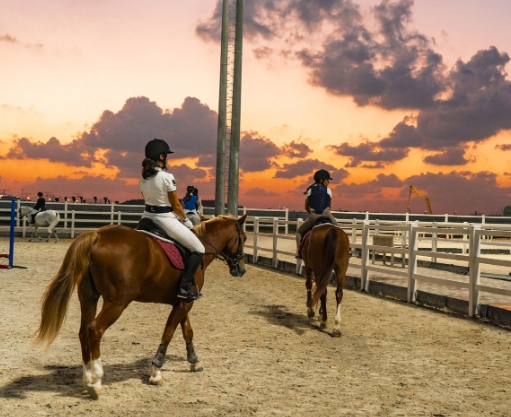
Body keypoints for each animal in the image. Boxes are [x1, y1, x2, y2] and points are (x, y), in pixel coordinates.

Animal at [35, 214, 247, 396]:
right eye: (243, 238)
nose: (241, 270)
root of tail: (97, 235)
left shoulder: (183, 301)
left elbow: (187, 330)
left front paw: (194, 361)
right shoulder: (185, 302)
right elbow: (169, 333)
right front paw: (156, 372)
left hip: (88, 297)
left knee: (83, 331)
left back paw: (87, 377)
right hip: (117, 303)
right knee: (95, 330)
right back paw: (96, 380)